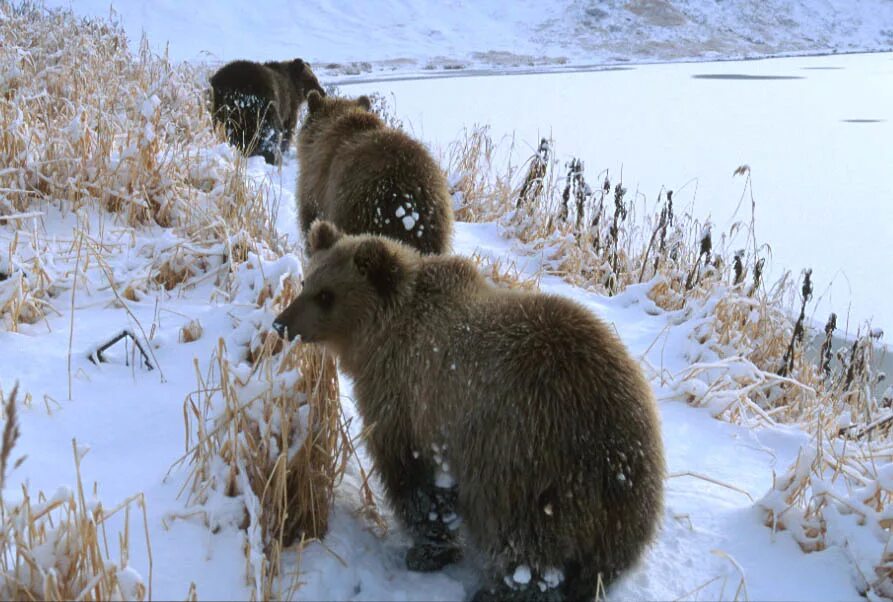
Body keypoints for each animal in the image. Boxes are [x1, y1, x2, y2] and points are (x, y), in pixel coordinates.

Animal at [272, 220, 664, 600]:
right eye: (307, 281)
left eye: (326, 295)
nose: (281, 323)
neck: (383, 338)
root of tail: (617, 457)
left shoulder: (411, 402)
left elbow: (412, 479)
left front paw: (426, 549)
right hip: (625, 504)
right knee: (603, 559)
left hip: (529, 459)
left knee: (525, 542)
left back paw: (501, 590)